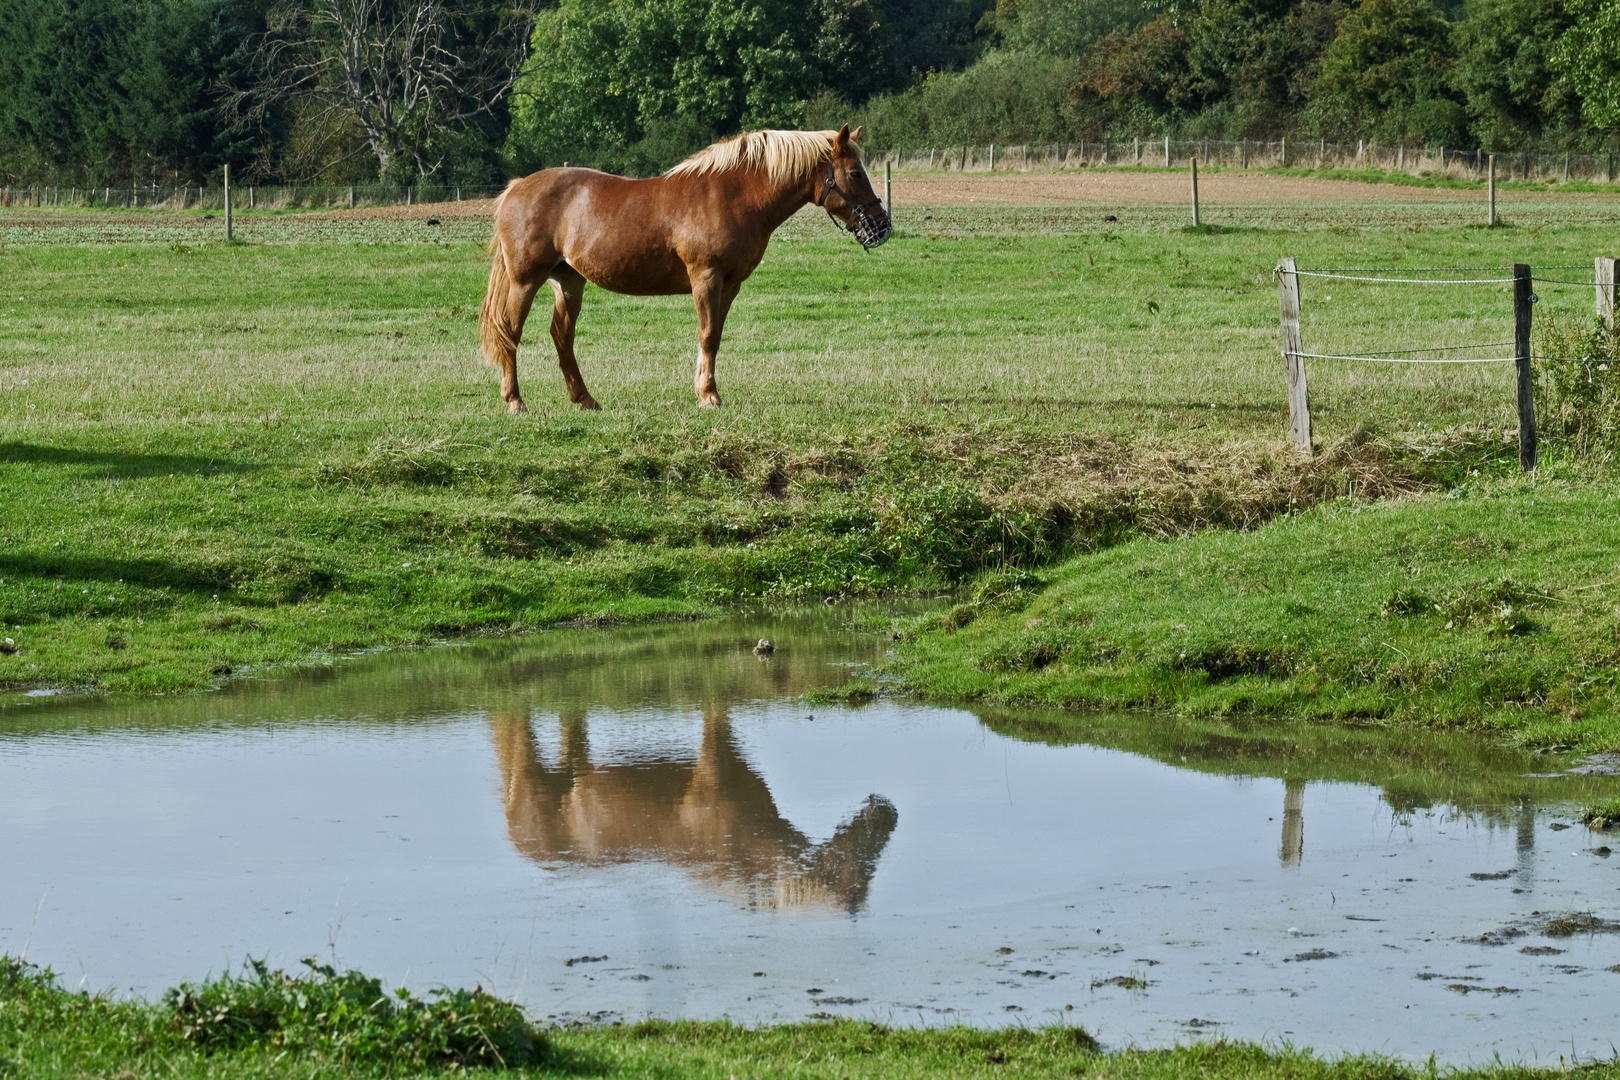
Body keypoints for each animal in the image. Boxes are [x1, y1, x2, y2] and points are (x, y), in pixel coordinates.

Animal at [473, 124, 894, 414]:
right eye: (855, 173)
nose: (882, 227)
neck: (734, 195)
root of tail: (515, 188)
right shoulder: (705, 277)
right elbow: (707, 335)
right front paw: (708, 395)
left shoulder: (730, 285)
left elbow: (715, 336)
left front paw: (705, 389)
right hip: (525, 280)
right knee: (510, 332)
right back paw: (515, 401)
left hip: (569, 281)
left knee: (562, 336)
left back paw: (585, 399)